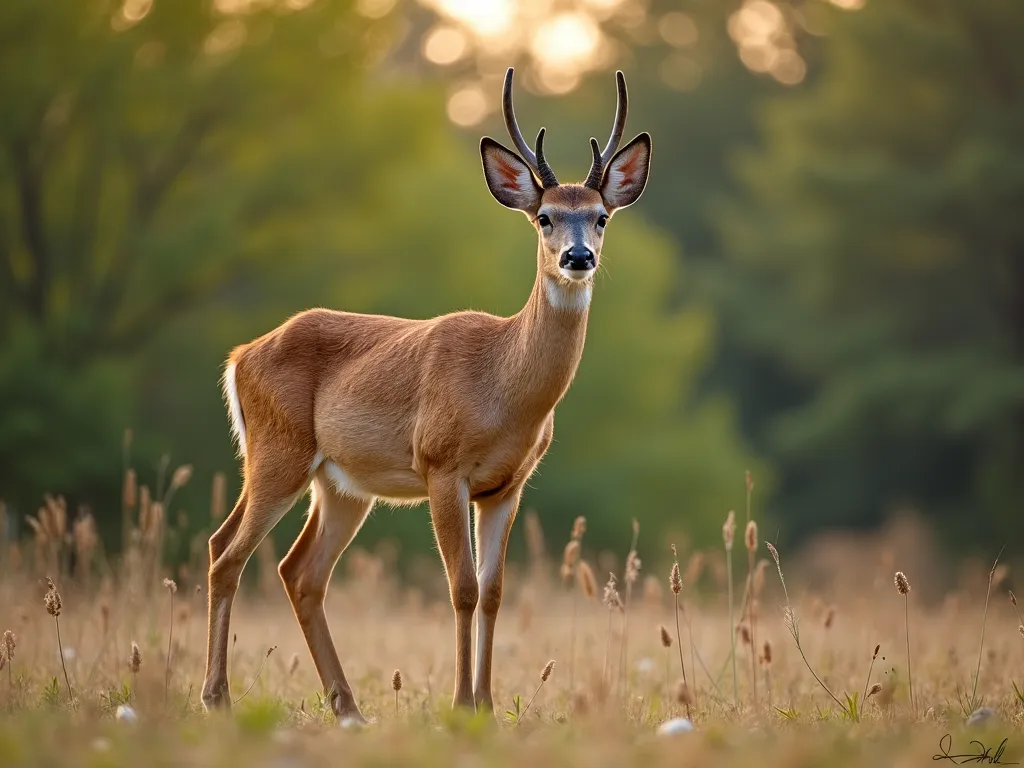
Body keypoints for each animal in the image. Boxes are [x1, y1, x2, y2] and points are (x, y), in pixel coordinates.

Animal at [200, 67, 651, 721]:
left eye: (601, 217)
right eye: (544, 216)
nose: (578, 257)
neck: (503, 385)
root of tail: (240, 357)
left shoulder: (507, 485)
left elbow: (493, 590)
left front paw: (487, 702)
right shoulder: (442, 466)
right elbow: (460, 587)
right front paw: (462, 704)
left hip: (337, 482)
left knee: (296, 570)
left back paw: (348, 708)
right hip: (277, 453)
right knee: (228, 553)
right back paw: (218, 698)